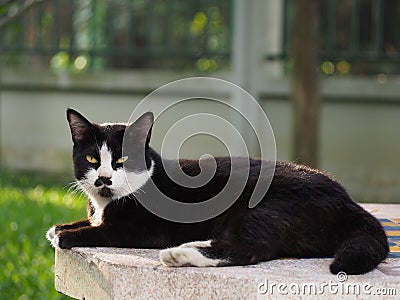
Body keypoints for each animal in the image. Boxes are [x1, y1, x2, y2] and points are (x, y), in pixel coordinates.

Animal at [46, 109, 388, 274]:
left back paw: (178, 254)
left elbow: (104, 230)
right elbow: (90, 222)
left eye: (122, 160)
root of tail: (349, 202)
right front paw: (60, 227)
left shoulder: (146, 230)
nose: (104, 179)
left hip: (261, 210)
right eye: (92, 159)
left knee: (249, 249)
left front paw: (66, 235)